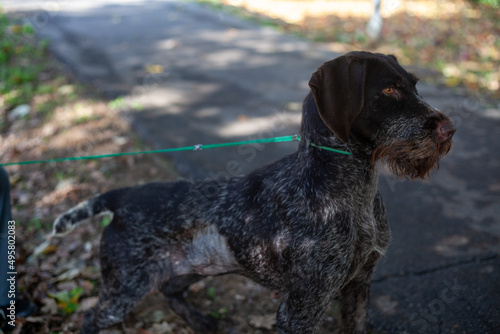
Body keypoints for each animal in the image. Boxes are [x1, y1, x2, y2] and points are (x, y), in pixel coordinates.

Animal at [52, 51, 456, 332]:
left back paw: (200, 321)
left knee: (170, 290)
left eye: (414, 85)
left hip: (195, 266)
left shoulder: (359, 285)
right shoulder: (302, 308)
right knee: (90, 318)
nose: (449, 128)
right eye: (388, 89)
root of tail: (123, 197)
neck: (353, 189)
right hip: (125, 288)